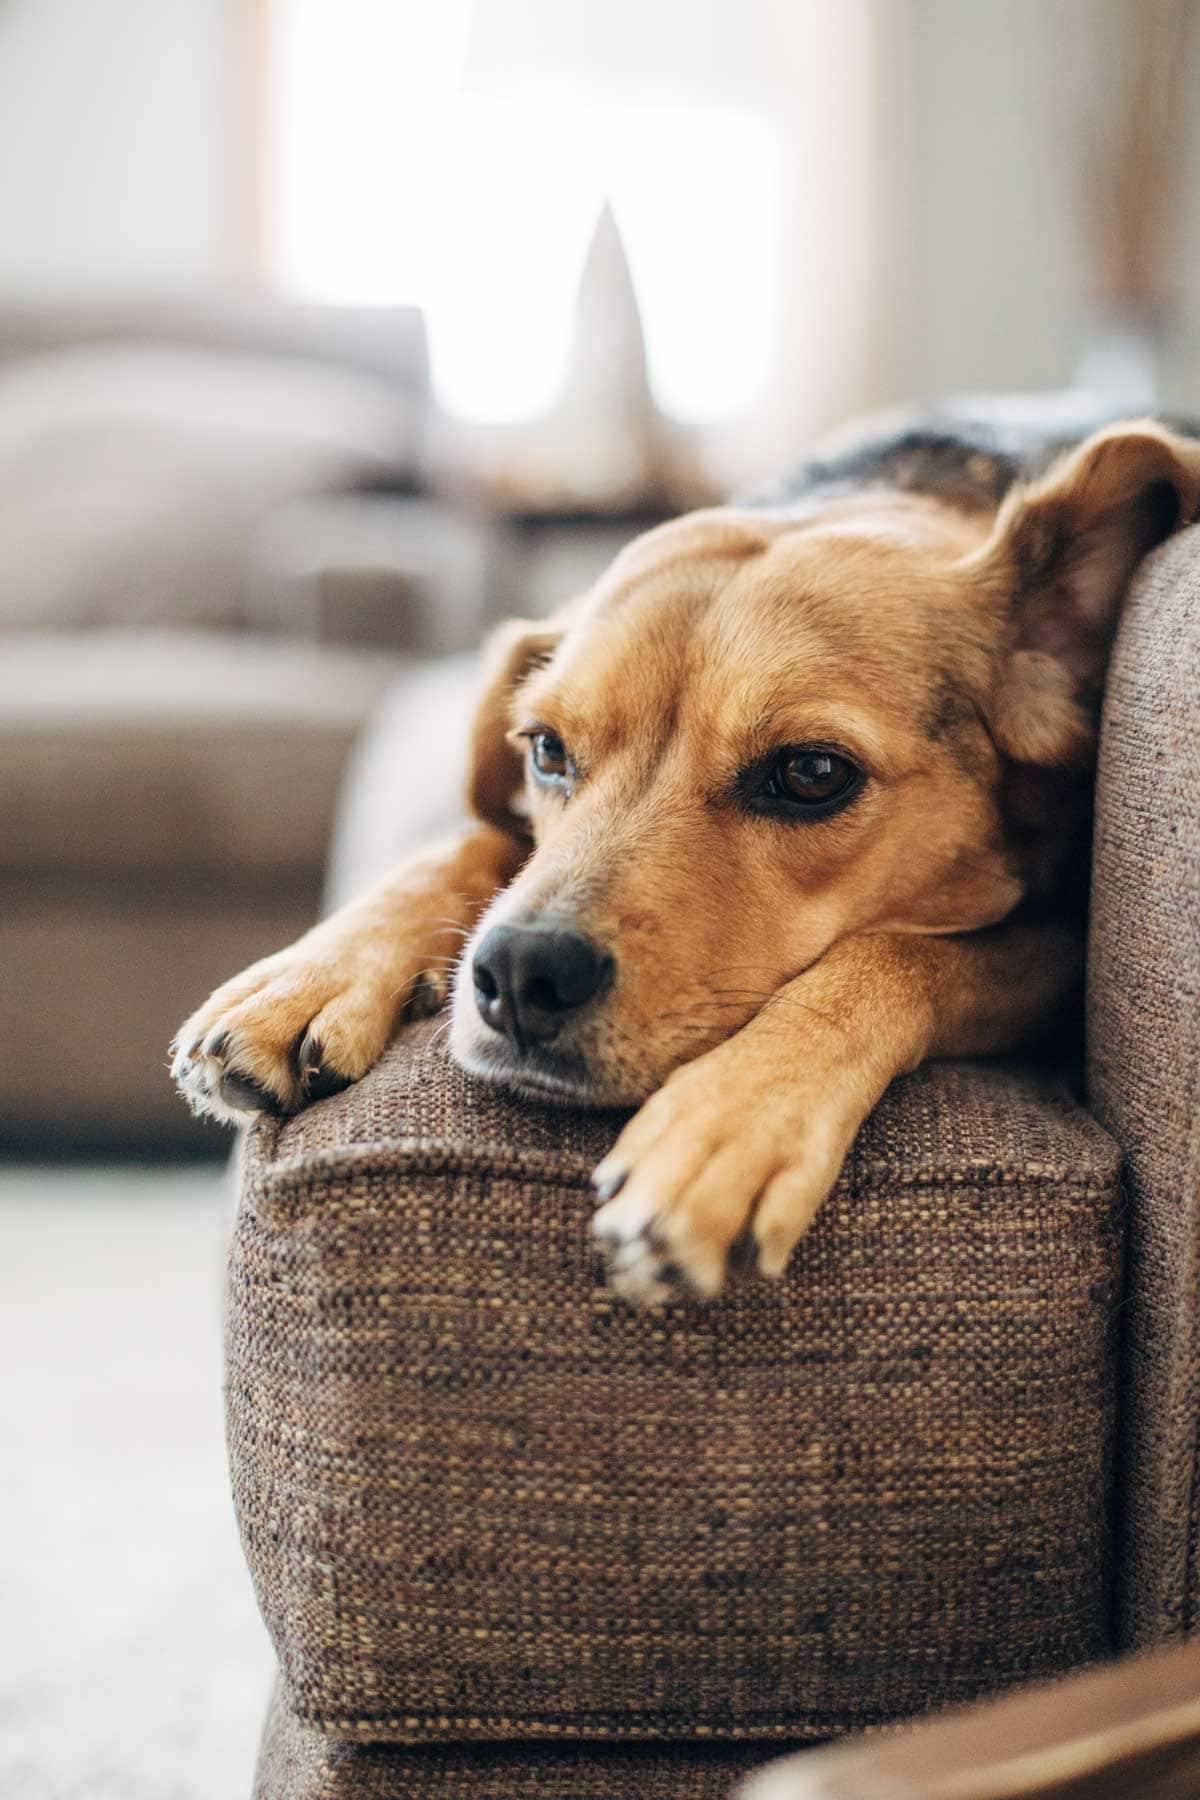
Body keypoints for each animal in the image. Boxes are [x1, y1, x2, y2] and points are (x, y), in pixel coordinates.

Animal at [173, 410, 1194, 1310]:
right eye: (545, 749)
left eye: (812, 773)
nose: (520, 974)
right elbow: (473, 845)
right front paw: (314, 972)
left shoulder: (1064, 954)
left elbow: (897, 953)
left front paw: (734, 1119)